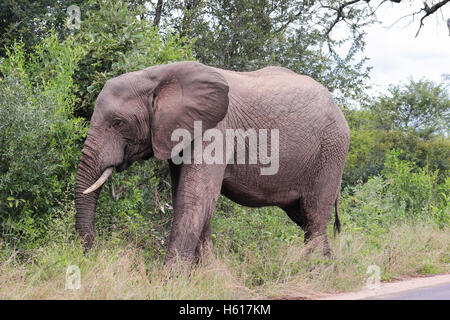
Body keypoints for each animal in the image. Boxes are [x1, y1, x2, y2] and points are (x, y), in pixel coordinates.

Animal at [75, 61, 350, 264]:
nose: (90, 255)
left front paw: (169, 282)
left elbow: (193, 198)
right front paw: (205, 274)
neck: (157, 76)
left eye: (118, 123)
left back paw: (314, 272)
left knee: (314, 215)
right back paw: (328, 269)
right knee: (305, 219)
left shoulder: (216, 130)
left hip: (331, 151)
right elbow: (190, 199)